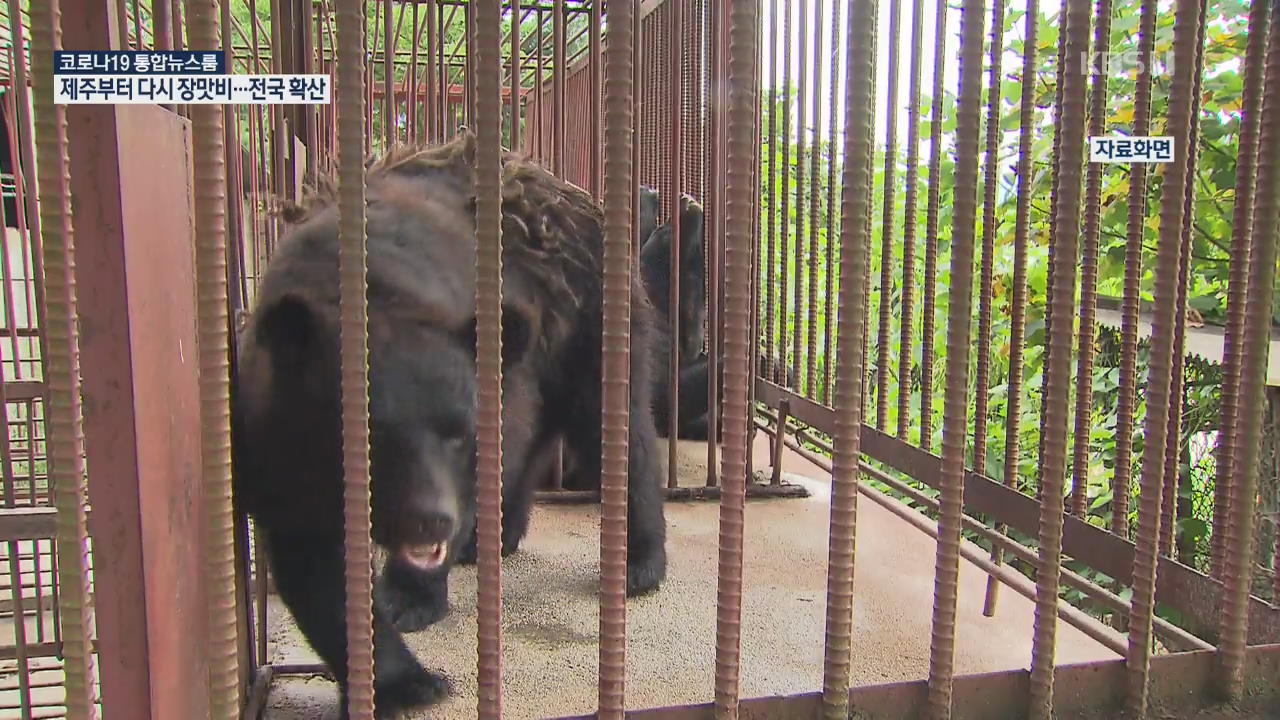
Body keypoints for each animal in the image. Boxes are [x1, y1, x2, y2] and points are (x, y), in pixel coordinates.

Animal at [231, 131, 670, 712]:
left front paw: (409, 600)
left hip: (588, 322)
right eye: (369, 439)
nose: (429, 520)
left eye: (458, 435)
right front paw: (405, 679)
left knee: (616, 428)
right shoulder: (275, 433)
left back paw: (638, 561)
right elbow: (313, 560)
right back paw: (496, 537)